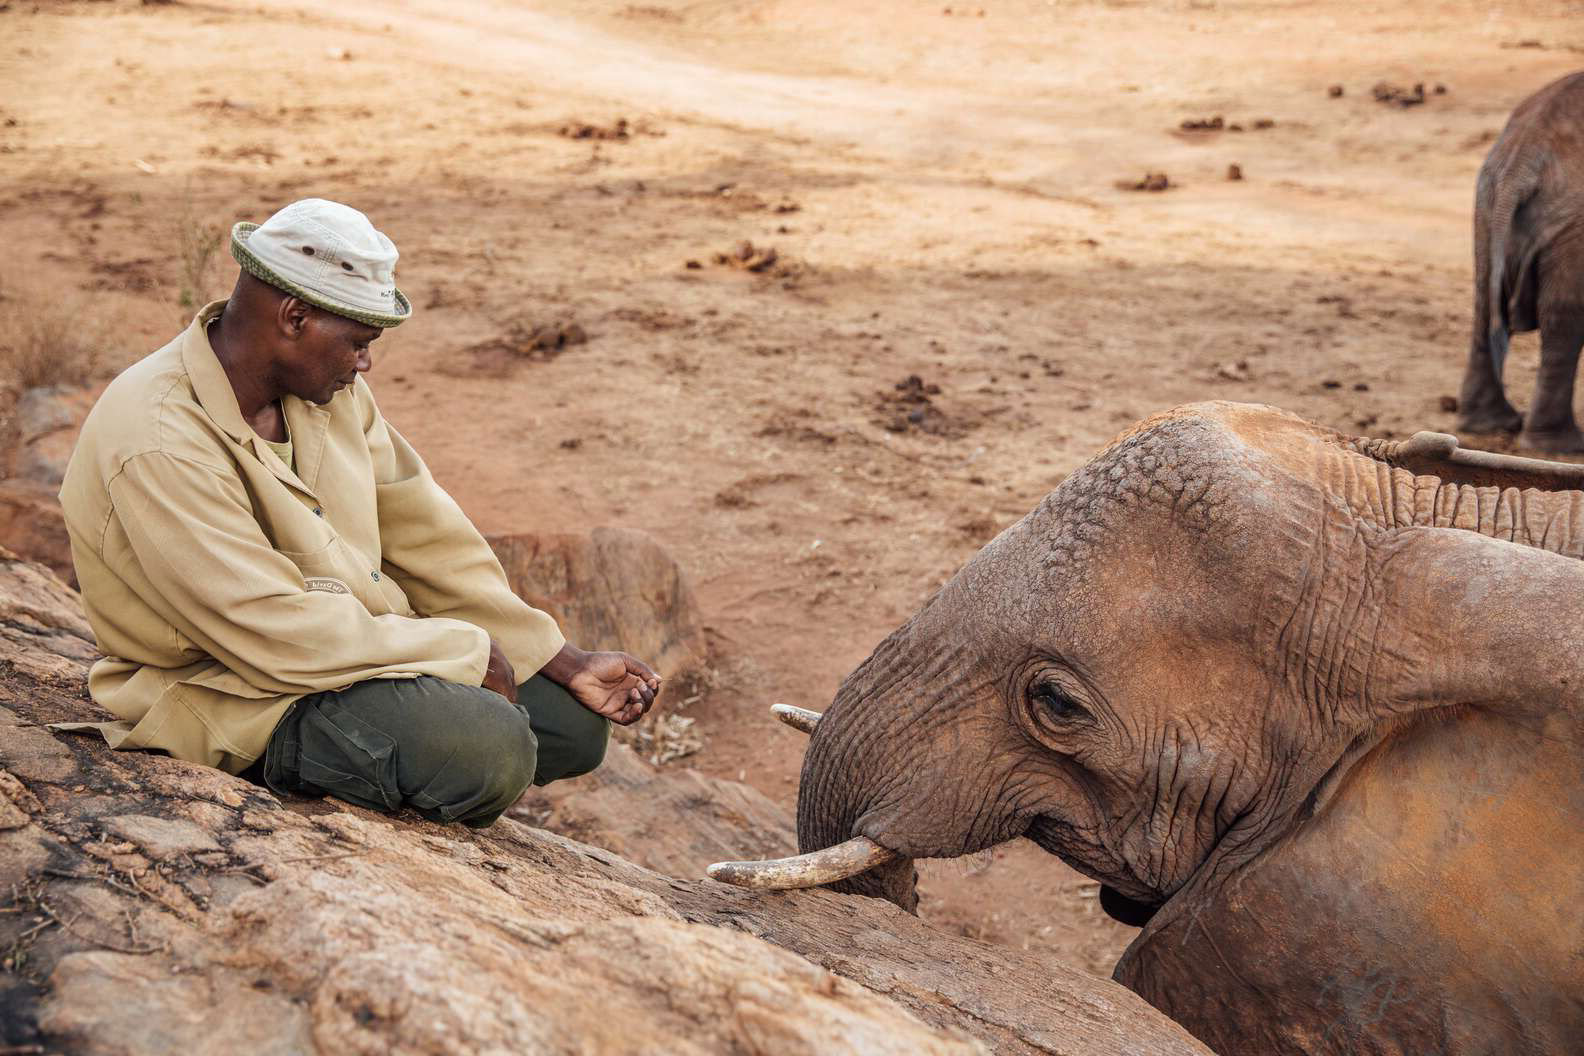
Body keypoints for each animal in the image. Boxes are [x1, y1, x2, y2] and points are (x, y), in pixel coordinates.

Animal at [1456, 70, 1584, 452]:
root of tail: (1524, 158)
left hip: (1486, 200)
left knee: (1483, 299)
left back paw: (1491, 424)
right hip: (1572, 222)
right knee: (1564, 315)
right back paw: (1557, 446)